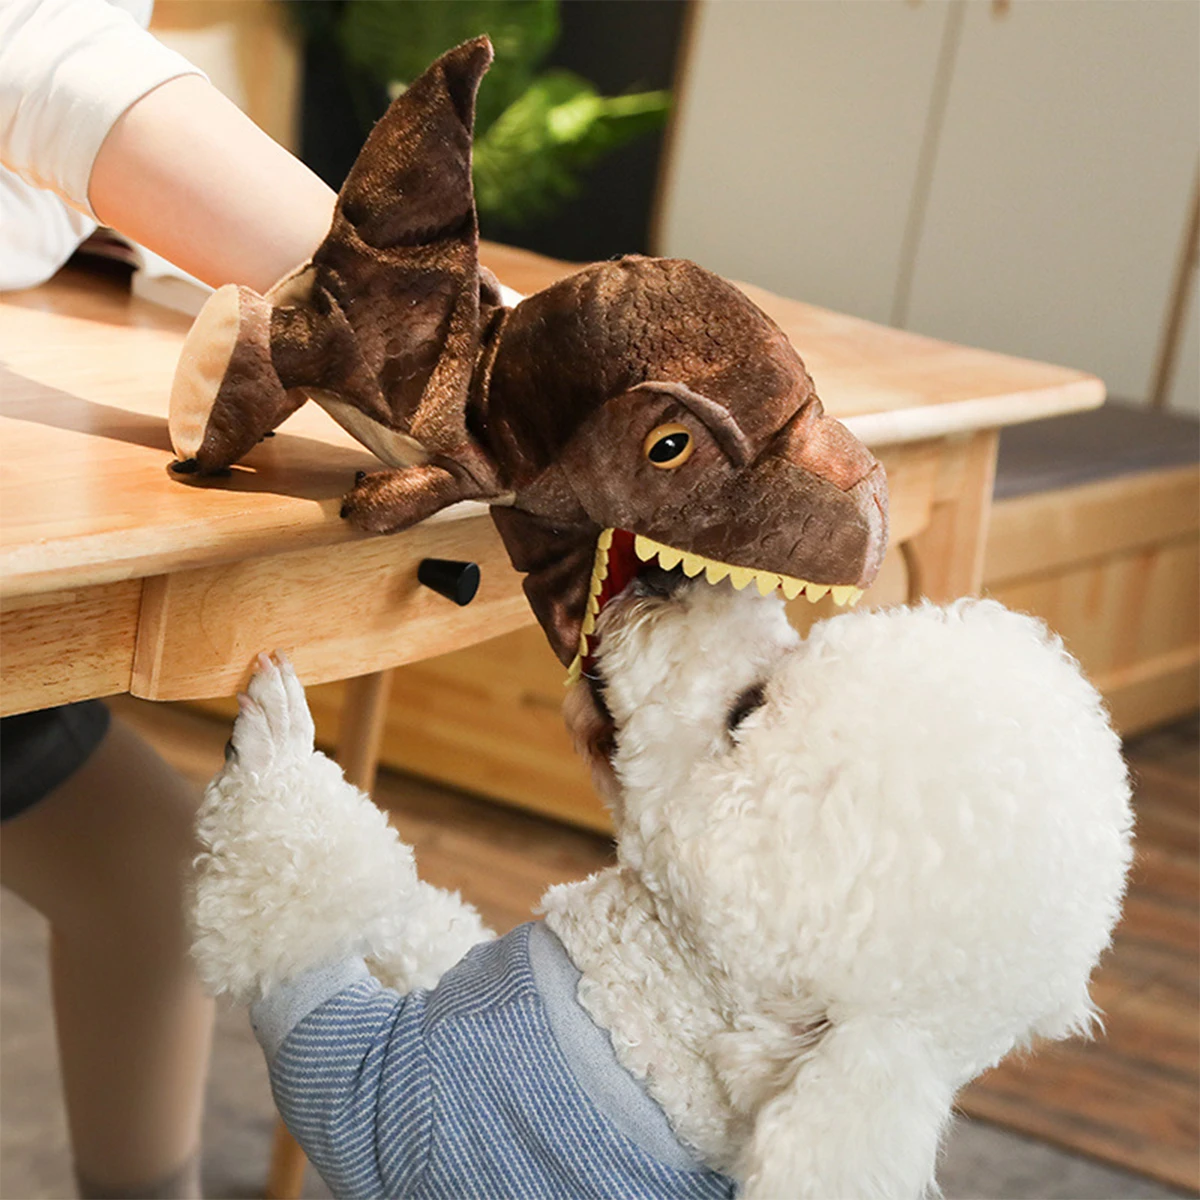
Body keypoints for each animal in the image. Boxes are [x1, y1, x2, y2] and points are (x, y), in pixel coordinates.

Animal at [192, 585, 1128, 1195]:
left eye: (747, 710)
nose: (669, 580)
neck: (639, 1029)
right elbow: (412, 915)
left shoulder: (386, 1108)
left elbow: (298, 897)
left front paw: (278, 739)